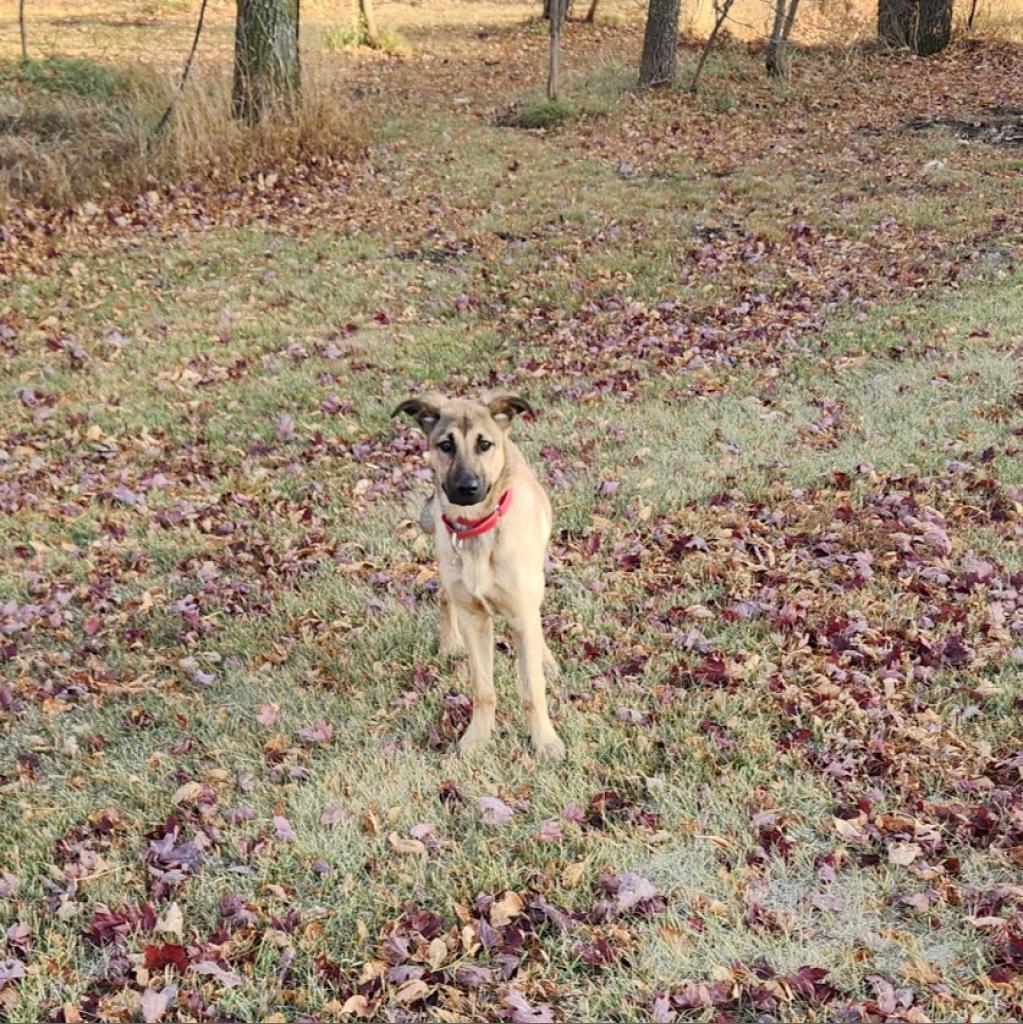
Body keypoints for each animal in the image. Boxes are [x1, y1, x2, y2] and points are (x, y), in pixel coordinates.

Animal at [393, 391, 569, 761]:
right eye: (445, 445)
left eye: (484, 444)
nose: (467, 488)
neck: (477, 529)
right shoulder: (474, 619)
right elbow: (482, 688)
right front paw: (478, 737)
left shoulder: (521, 613)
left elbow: (533, 690)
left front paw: (544, 740)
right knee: (443, 596)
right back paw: (449, 643)